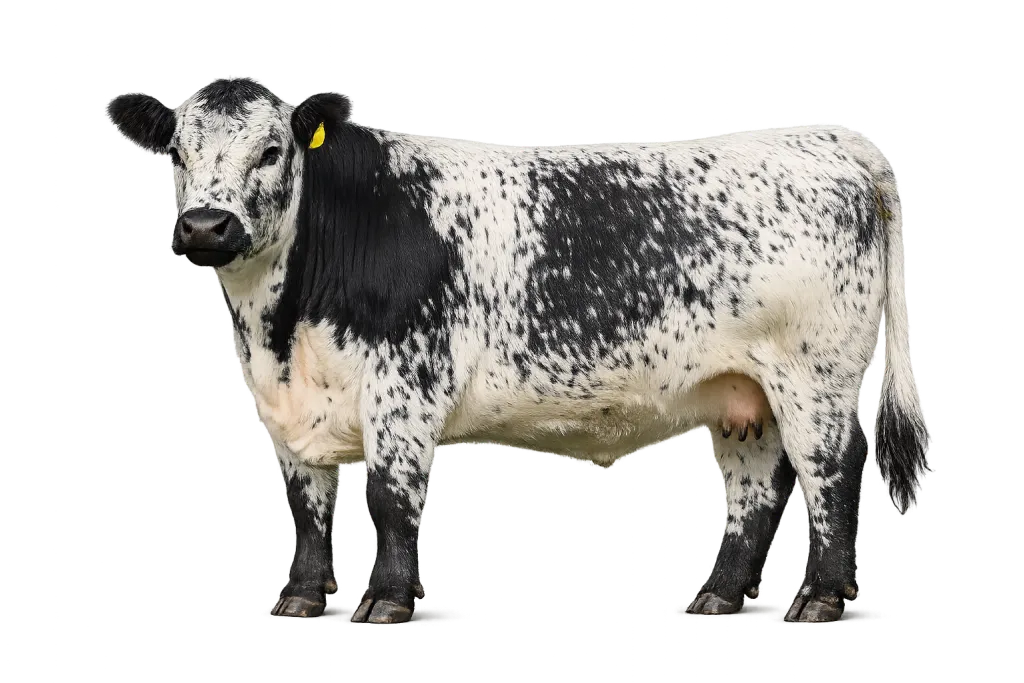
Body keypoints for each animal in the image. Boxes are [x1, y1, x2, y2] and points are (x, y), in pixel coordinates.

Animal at [104, 78, 929, 624]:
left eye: (272, 149)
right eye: (176, 151)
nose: (205, 225)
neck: (280, 332)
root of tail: (821, 136)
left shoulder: (406, 386)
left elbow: (389, 496)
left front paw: (387, 602)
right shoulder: (286, 407)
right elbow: (305, 503)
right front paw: (303, 597)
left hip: (814, 374)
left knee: (833, 465)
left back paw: (820, 597)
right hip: (742, 388)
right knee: (761, 478)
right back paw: (719, 594)